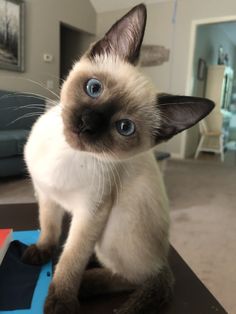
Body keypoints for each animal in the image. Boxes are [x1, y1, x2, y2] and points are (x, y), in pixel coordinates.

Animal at [21, 3, 214, 314]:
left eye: (124, 128)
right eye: (93, 88)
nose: (87, 124)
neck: (68, 154)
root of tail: (163, 260)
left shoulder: (90, 215)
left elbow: (70, 262)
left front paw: (61, 301)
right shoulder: (47, 196)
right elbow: (48, 229)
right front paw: (42, 251)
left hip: (113, 230)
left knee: (135, 277)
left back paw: (87, 285)